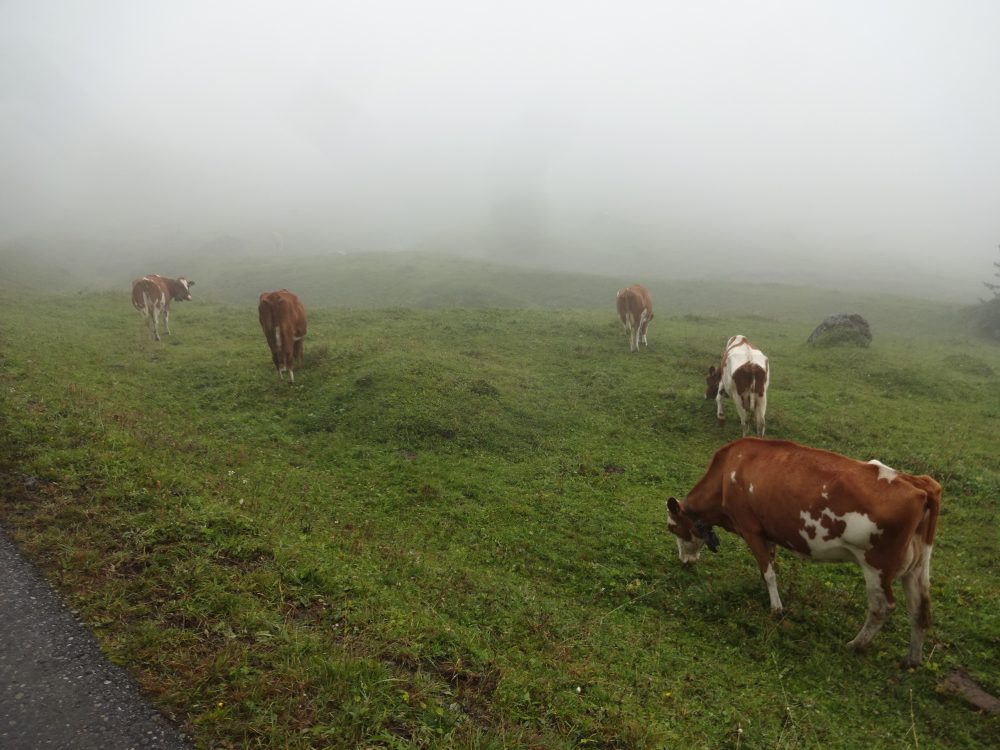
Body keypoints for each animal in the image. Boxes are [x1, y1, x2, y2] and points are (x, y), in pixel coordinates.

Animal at [668, 438, 940, 668]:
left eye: (673, 528)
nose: (684, 561)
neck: (726, 475)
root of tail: (919, 483)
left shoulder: (750, 527)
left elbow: (768, 572)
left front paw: (776, 609)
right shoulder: (767, 533)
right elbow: (770, 565)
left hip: (875, 564)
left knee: (882, 606)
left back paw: (855, 644)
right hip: (917, 567)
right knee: (920, 609)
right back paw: (912, 660)